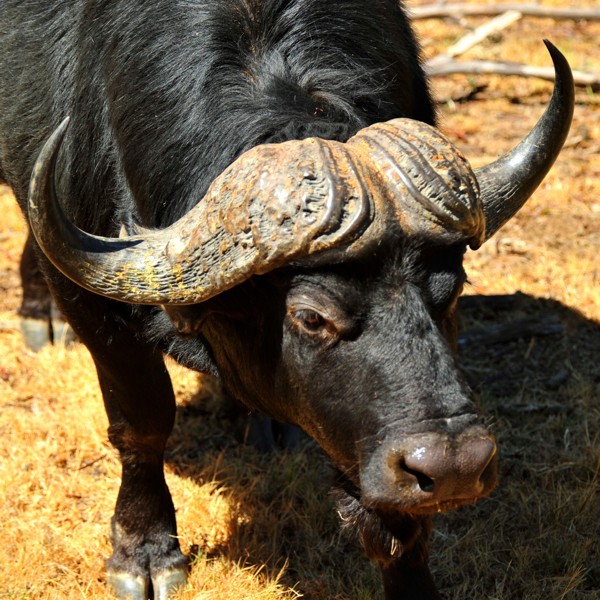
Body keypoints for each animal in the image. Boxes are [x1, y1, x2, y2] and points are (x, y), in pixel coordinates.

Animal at [0, 1, 576, 600]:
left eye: (453, 290)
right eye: (310, 317)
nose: (455, 466)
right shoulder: (91, 305)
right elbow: (143, 421)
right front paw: (145, 554)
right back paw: (39, 317)